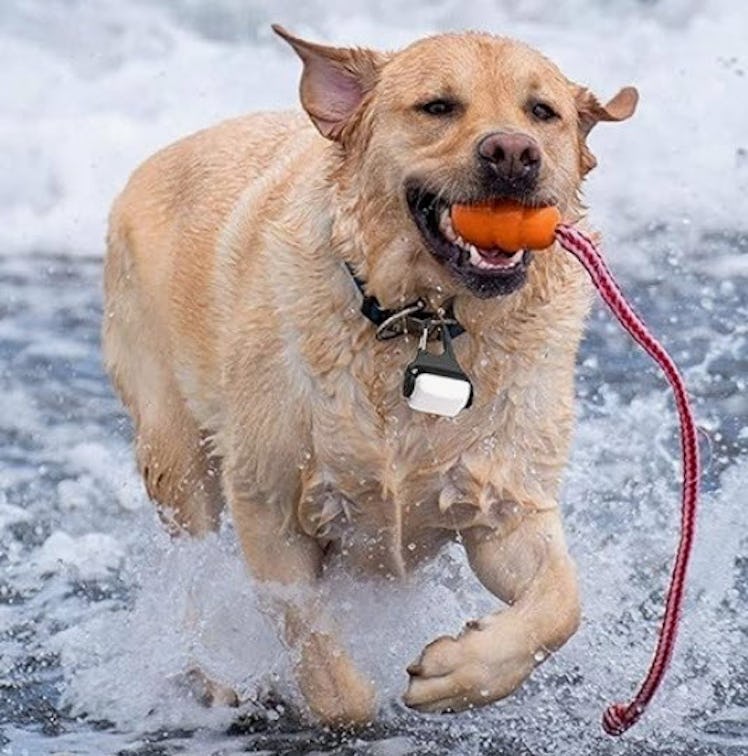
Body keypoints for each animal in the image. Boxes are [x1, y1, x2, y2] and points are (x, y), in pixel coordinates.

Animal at [101, 26, 636, 724]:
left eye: (542, 112)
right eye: (438, 106)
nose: (514, 153)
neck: (423, 323)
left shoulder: (505, 502)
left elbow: (560, 606)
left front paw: (462, 671)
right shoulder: (269, 503)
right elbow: (327, 670)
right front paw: (344, 696)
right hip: (177, 452)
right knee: (192, 569)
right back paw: (208, 676)